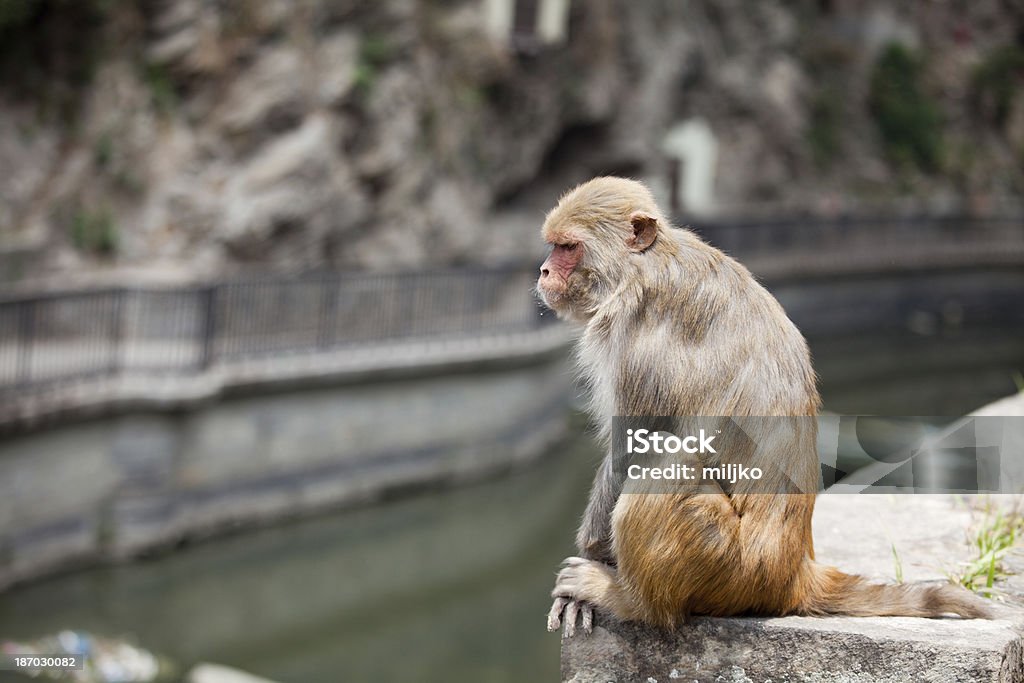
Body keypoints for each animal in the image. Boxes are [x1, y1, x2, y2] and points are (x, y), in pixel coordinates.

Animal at [536, 176, 991, 634]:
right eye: (553, 246)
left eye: (568, 248)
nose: (543, 271)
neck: (642, 265)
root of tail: (793, 574)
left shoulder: (637, 337)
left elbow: (631, 447)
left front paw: (592, 558)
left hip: (729, 569)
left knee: (667, 457)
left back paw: (633, 602)